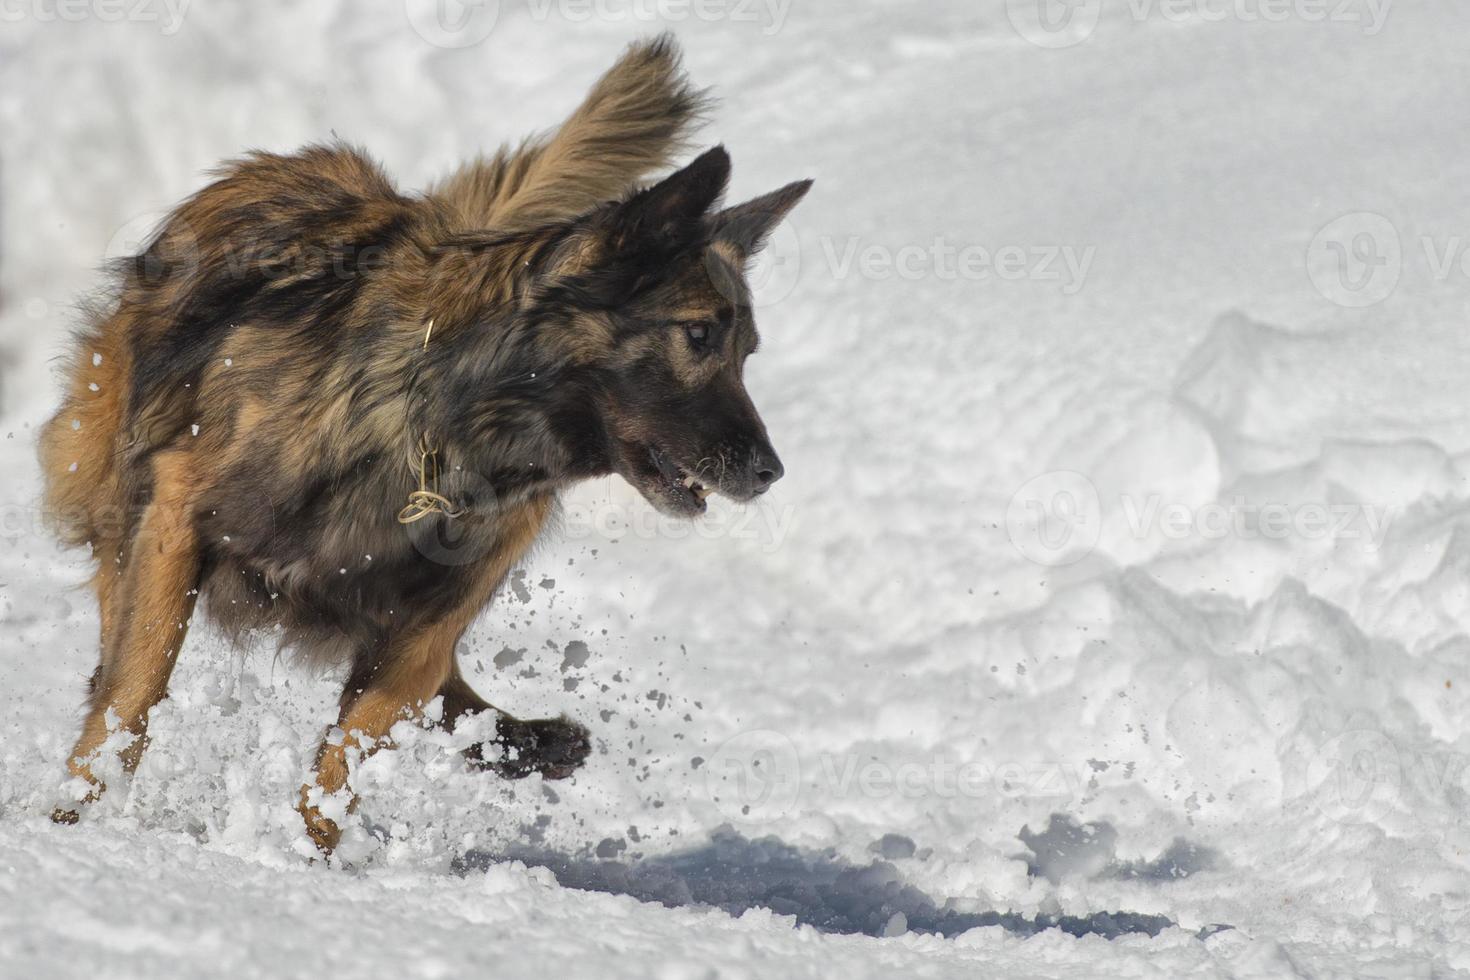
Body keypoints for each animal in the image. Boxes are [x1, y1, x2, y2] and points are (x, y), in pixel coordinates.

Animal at [37, 34, 817, 852]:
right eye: (697, 336)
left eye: (748, 353)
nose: (770, 472)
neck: (442, 425)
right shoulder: (176, 518)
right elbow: (138, 682)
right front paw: (79, 810)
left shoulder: (420, 626)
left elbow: (350, 749)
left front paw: (309, 851)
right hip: (116, 483)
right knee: (116, 631)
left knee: (444, 689)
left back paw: (529, 741)